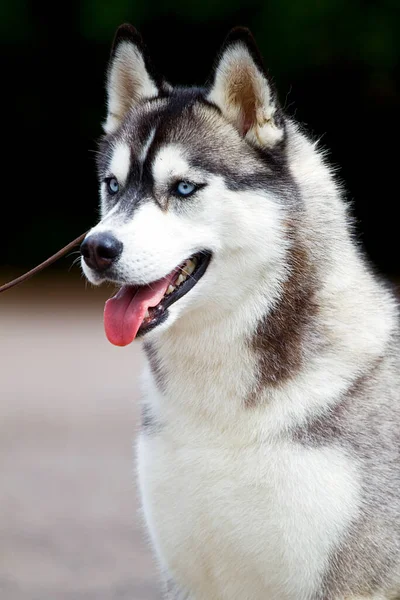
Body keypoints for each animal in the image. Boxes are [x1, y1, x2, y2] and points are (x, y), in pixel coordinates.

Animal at [81, 23, 400, 600]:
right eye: (112, 186)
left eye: (184, 187)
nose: (96, 248)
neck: (219, 414)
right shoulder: (188, 575)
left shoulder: (346, 582)